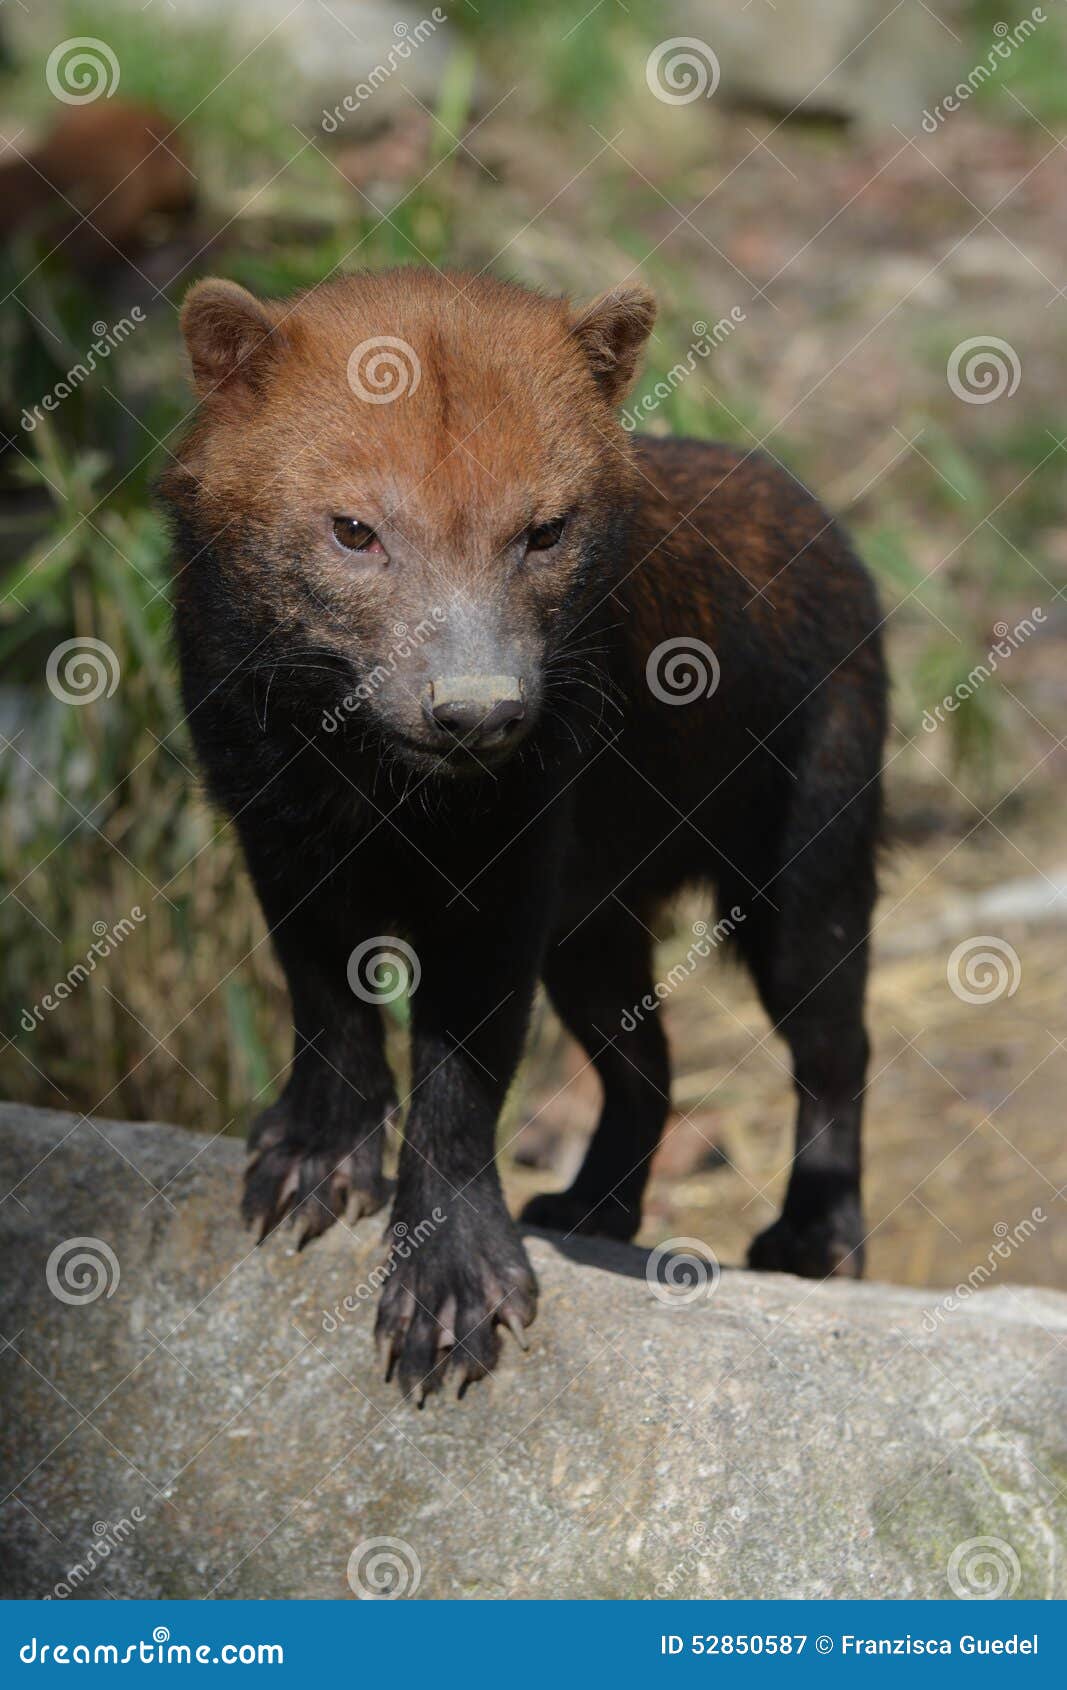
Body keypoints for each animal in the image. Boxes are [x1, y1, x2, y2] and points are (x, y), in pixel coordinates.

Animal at [163, 267, 886, 1399]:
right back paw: (594, 1208)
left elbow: (462, 1083)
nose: (477, 712)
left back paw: (815, 1237)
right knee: (650, 1068)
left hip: (802, 887)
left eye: (544, 531)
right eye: (354, 530)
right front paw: (312, 1163)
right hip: (594, 928)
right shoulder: (276, 841)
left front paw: (449, 1292)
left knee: (836, 1050)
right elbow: (325, 1006)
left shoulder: (502, 889)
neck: (370, 784)